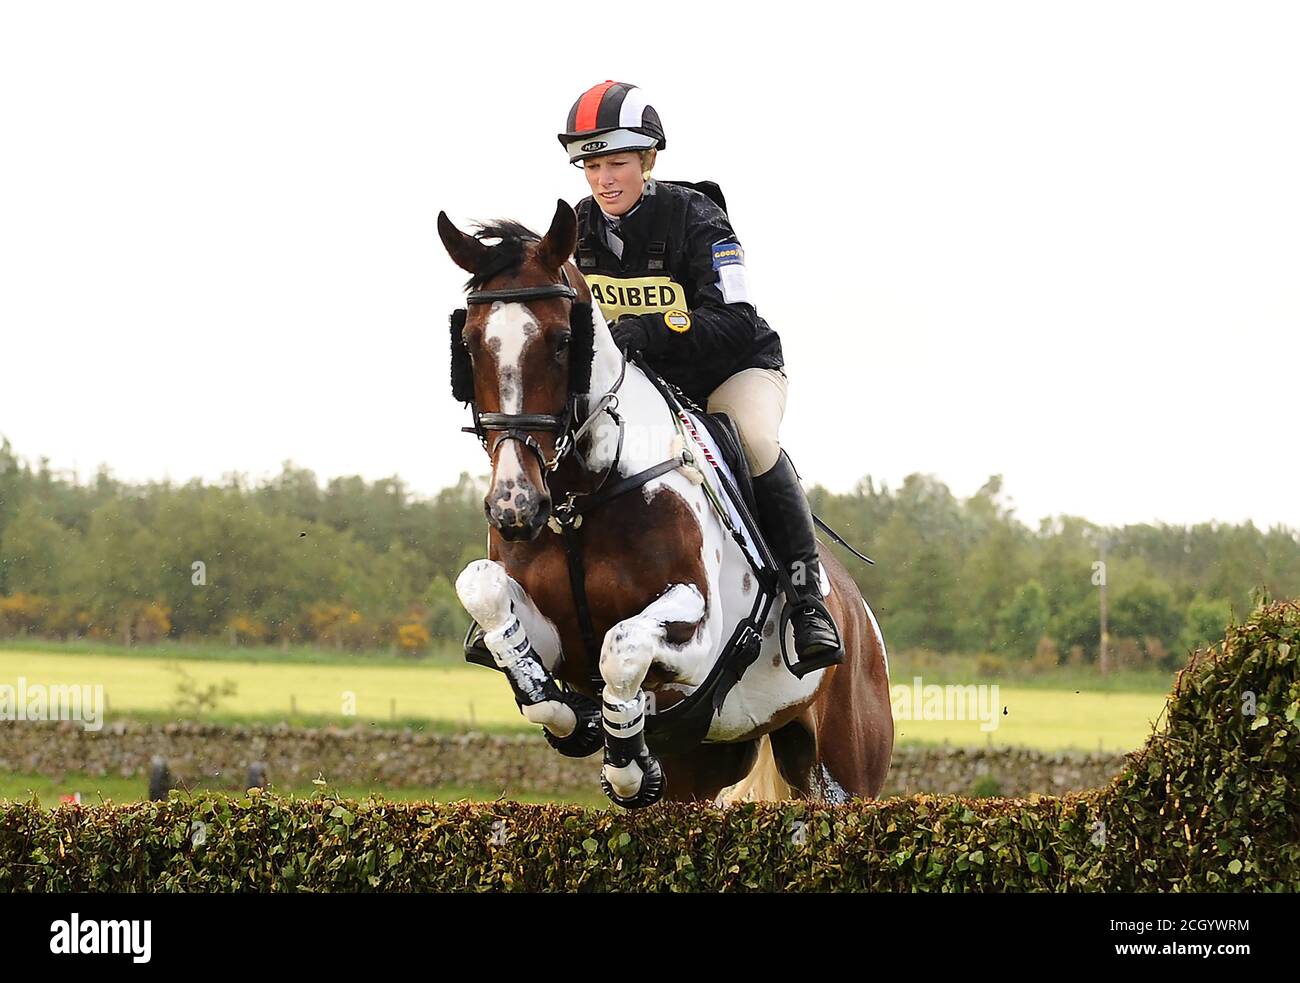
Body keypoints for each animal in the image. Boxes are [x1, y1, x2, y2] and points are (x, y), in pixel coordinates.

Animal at [436, 197, 894, 806]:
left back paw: (814, 628)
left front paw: (626, 765)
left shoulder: (697, 641)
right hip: (705, 764)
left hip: (846, 772)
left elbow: (623, 645)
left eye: (562, 341)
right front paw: (577, 720)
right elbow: (485, 593)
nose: (515, 506)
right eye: (468, 343)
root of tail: (861, 615)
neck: (581, 498)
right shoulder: (551, 634)